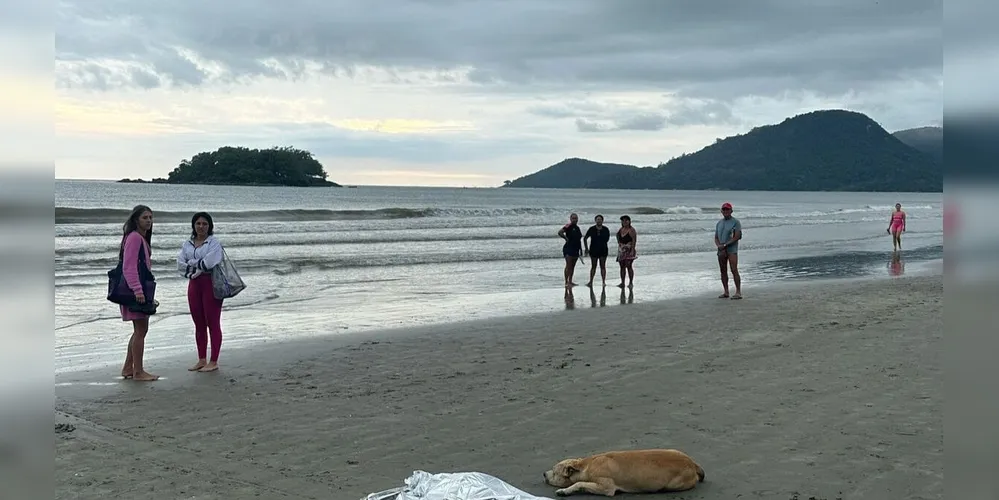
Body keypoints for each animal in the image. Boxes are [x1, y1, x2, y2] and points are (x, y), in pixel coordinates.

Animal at [544, 450, 708, 496]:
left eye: (554, 471)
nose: (544, 474)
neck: (585, 465)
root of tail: (692, 462)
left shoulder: (606, 488)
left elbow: (579, 483)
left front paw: (565, 490)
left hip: (674, 484)